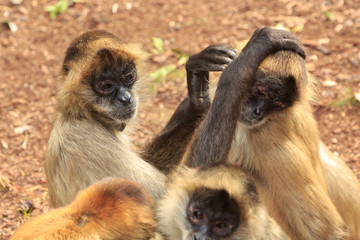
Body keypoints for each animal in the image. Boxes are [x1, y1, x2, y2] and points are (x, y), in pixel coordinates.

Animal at [45, 29, 236, 206]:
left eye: (128, 77)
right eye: (106, 86)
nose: (126, 98)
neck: (79, 115)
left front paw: (197, 92)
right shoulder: (84, 139)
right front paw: (236, 75)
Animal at [181, 27, 350, 239]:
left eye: (277, 104)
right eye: (260, 91)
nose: (258, 112)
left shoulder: (264, 139)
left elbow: (328, 231)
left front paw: (239, 69)